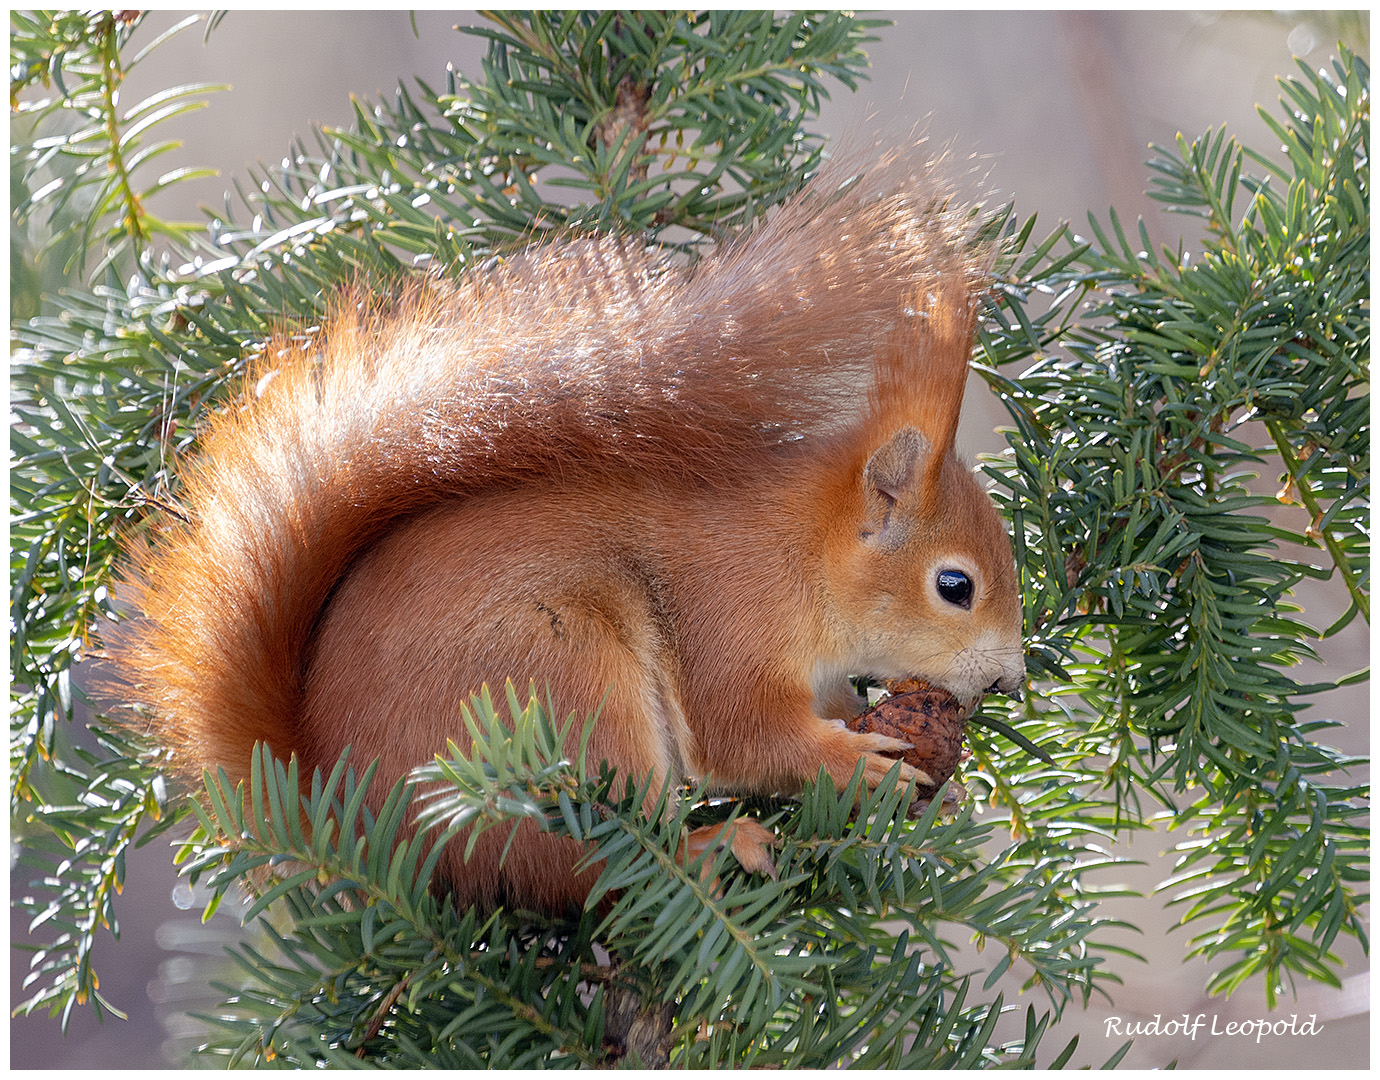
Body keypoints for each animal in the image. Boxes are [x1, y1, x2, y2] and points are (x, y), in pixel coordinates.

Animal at [113, 151, 1026, 910]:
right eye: (955, 586)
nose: (1011, 680)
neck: (802, 550)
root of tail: (347, 811)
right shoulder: (730, 613)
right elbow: (743, 736)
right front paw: (854, 762)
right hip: (564, 685)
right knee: (594, 870)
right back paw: (713, 847)